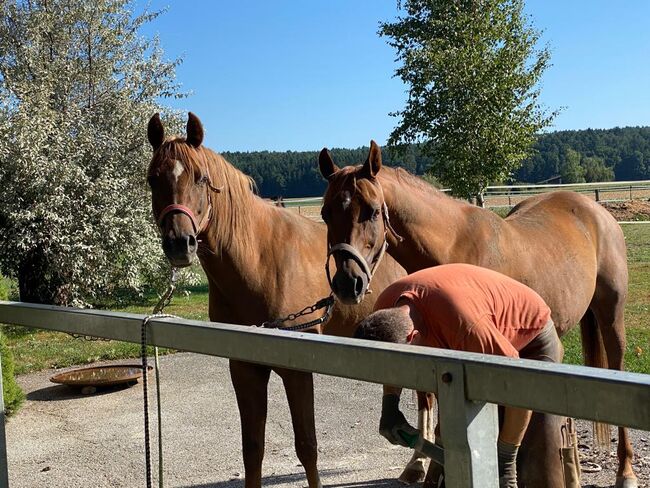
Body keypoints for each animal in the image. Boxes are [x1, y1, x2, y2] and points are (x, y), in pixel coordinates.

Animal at [146, 113, 410, 488]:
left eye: (200, 178)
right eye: (152, 179)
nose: (179, 243)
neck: (261, 263)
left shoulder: (296, 371)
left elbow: (307, 447)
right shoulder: (244, 368)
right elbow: (252, 449)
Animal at [318, 140, 632, 488]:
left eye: (372, 210)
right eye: (325, 213)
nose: (347, 283)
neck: (454, 248)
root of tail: (593, 209)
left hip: (611, 317)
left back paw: (625, 473)